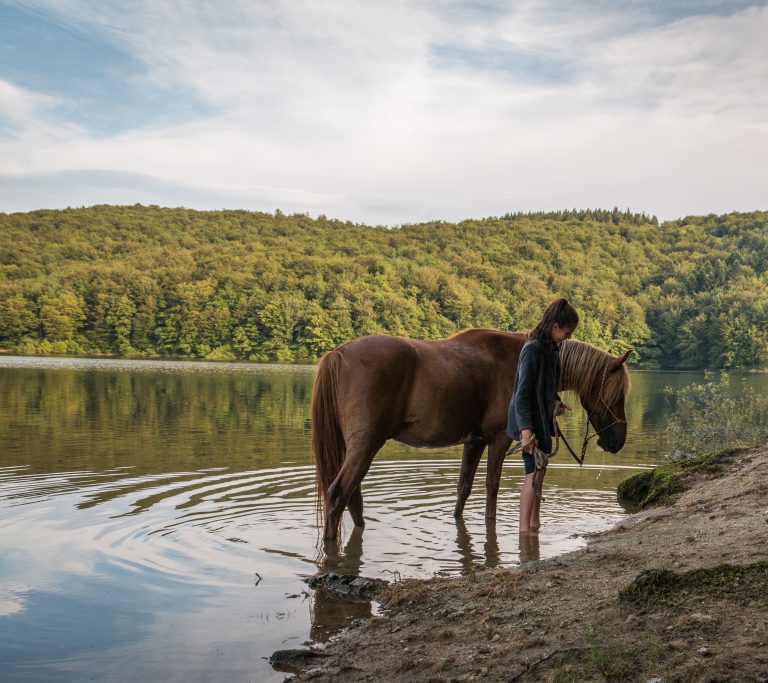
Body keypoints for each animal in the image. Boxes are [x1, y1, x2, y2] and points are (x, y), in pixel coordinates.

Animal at [312, 328, 632, 544]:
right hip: (365, 445)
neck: (519, 359)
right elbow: (491, 488)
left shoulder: (474, 441)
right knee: (338, 495)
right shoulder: (499, 440)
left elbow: (463, 489)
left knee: (352, 498)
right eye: (615, 394)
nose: (618, 441)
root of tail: (338, 353)